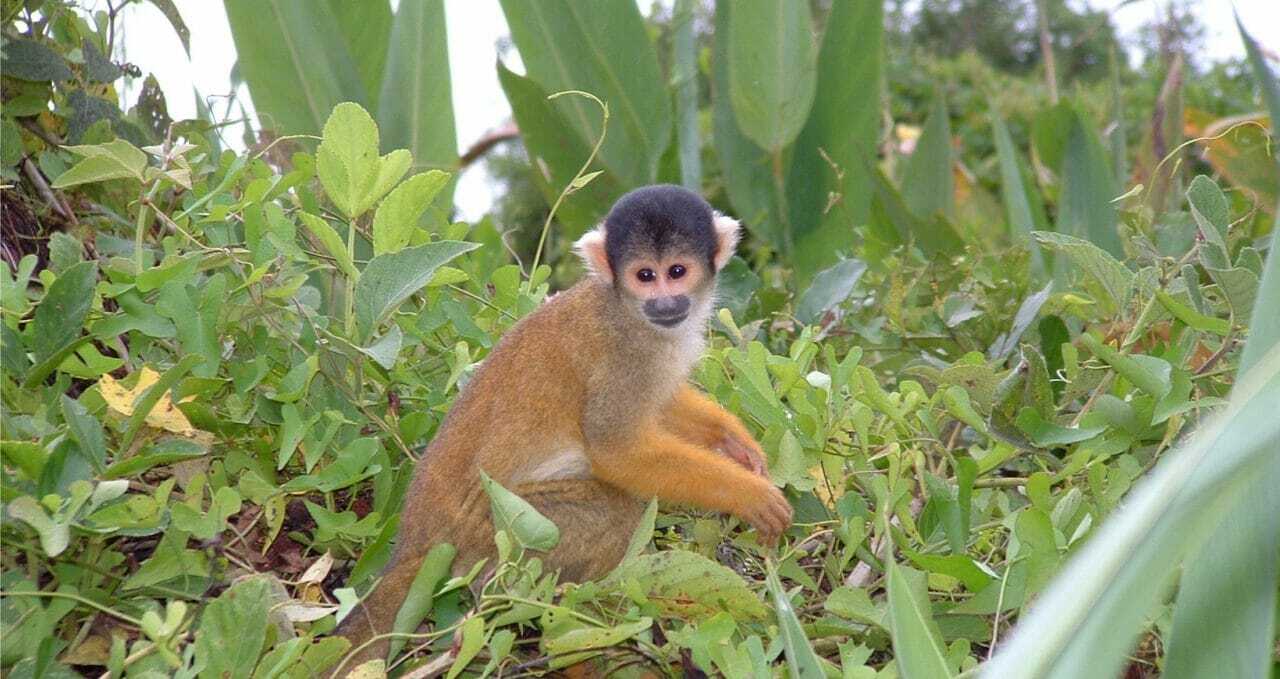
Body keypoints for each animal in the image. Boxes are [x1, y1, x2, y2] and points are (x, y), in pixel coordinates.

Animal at [337, 181, 788, 653]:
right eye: (645, 276)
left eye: (677, 271)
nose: (665, 302)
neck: (624, 307)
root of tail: (416, 539)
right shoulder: (627, 355)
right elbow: (617, 451)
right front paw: (748, 494)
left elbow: (660, 406)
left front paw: (732, 440)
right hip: (501, 524)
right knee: (615, 512)